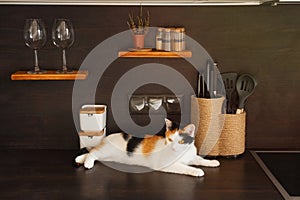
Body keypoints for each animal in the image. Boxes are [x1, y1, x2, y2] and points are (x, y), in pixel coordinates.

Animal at [74, 119, 220, 177]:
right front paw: (197, 171)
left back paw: (80, 159)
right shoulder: (167, 164)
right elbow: (185, 167)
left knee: (93, 152)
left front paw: (213, 162)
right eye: (170, 139)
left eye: (181, 141)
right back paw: (87, 163)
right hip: (107, 151)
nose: (173, 148)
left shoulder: (191, 156)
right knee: (92, 152)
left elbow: (199, 159)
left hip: (108, 155)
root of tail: (107, 137)